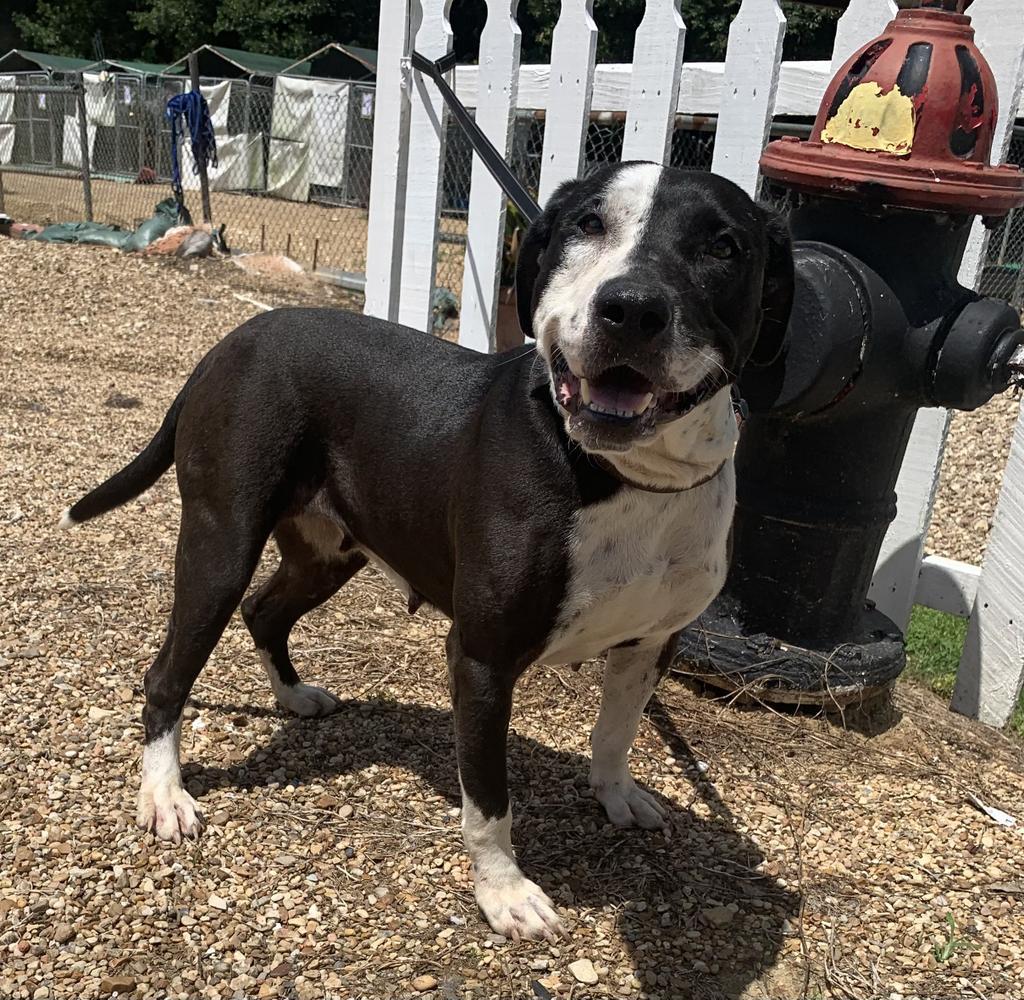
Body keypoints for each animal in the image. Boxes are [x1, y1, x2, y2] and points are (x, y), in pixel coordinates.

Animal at [64, 161, 794, 937]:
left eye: (723, 247)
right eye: (590, 223)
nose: (631, 308)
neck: (621, 474)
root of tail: (233, 340)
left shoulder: (652, 642)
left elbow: (617, 731)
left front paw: (615, 792)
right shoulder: (482, 659)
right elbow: (490, 802)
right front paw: (504, 892)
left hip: (329, 553)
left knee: (264, 612)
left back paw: (292, 695)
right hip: (219, 546)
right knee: (167, 674)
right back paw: (165, 795)